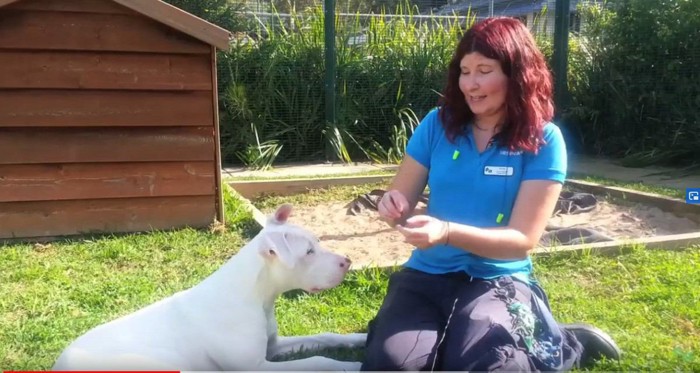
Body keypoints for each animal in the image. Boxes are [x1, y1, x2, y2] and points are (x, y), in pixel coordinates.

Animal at [52, 205, 370, 370]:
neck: (255, 296)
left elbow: (325, 337)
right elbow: (319, 360)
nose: (347, 261)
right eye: (308, 253)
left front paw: (361, 338)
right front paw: (355, 366)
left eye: (316, 242)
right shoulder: (258, 368)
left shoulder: (275, 346)